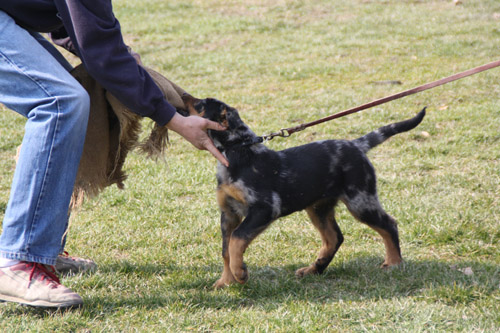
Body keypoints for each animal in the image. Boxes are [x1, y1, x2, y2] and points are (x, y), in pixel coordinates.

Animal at [182, 94, 424, 288]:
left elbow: (237, 239)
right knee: (334, 237)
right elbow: (225, 249)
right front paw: (226, 282)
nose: (182, 96)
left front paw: (240, 273)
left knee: (389, 224)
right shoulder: (228, 214)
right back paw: (314, 269)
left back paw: (394, 263)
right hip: (319, 208)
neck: (237, 151)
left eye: (200, 104)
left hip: (361, 201)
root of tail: (356, 145)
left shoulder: (265, 208)